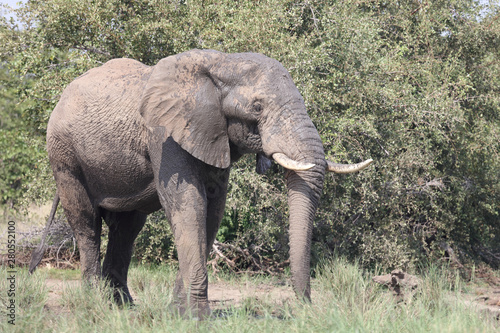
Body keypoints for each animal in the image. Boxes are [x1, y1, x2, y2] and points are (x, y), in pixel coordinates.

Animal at [28, 48, 372, 316]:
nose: (305, 308)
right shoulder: (165, 135)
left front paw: (180, 312)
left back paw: (123, 306)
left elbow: (213, 209)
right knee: (86, 222)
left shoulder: (215, 136)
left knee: (127, 227)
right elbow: (189, 202)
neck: (221, 64)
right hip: (63, 154)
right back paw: (94, 303)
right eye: (257, 107)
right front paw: (198, 316)